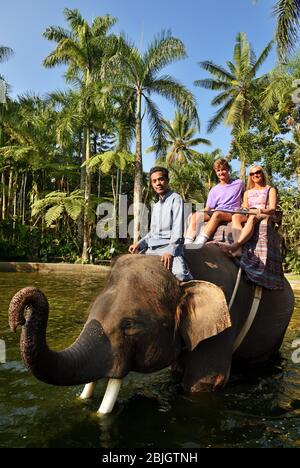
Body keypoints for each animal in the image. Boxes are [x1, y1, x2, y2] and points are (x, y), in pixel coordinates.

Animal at [8, 245, 292, 414]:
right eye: (90, 312)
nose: (18, 318)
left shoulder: (225, 323)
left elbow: (203, 382)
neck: (181, 276)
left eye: (130, 326)